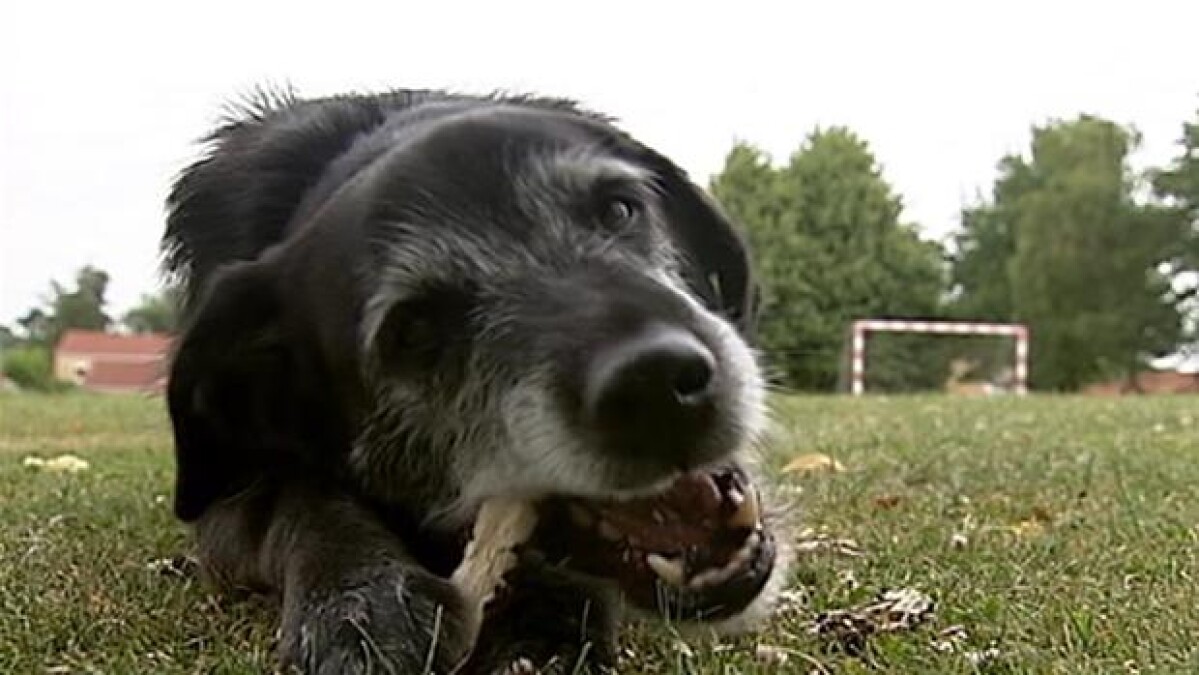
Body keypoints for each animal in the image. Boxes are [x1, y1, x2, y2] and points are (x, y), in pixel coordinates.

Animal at [164, 86, 791, 671]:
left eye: (619, 209)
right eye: (414, 329)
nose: (655, 383)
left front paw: (545, 614)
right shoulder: (225, 504)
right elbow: (299, 499)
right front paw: (359, 600)